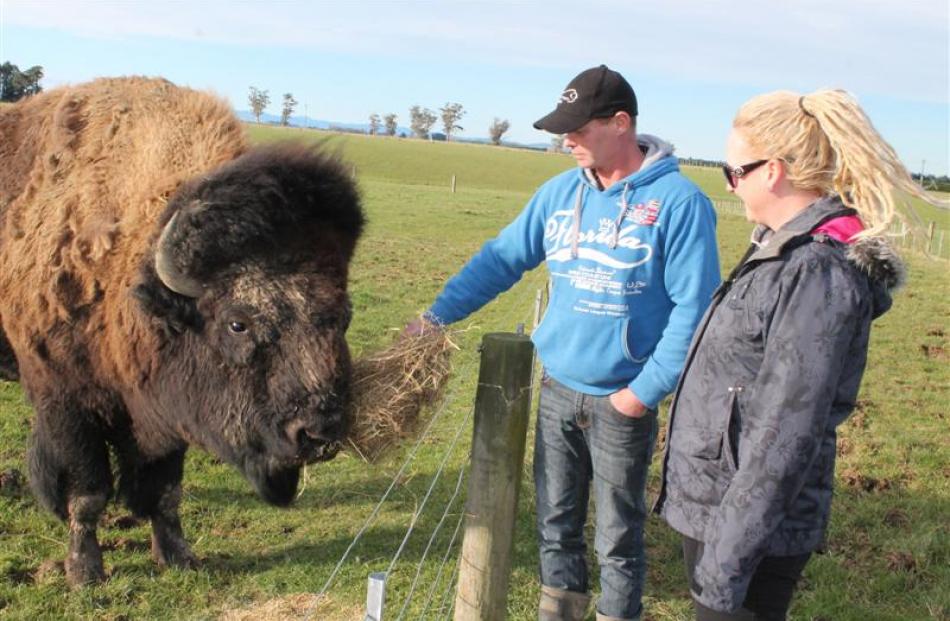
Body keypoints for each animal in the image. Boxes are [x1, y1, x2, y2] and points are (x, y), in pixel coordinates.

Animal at [0, 77, 363, 584]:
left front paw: (178, 556)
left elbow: (164, 490)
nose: (318, 432)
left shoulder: (166, 415)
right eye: (237, 323)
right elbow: (88, 492)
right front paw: (85, 571)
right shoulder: (66, 403)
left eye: (344, 315)